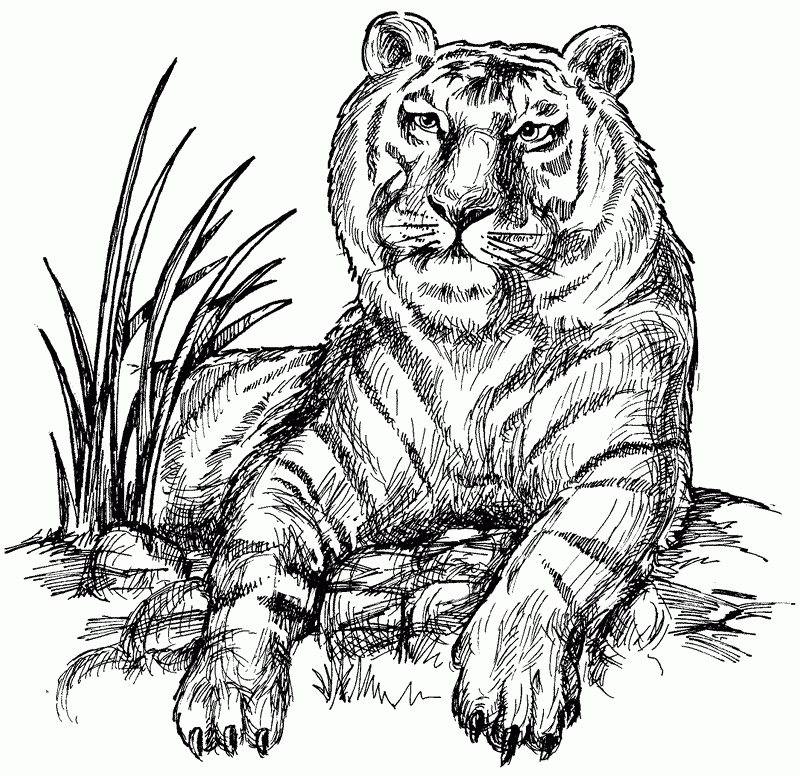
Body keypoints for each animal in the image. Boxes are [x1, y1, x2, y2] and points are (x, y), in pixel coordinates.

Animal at [160, 11, 695, 764]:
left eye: (534, 131)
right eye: (425, 121)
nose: (460, 207)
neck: (475, 339)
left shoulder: (632, 462)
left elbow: (549, 561)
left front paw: (506, 694)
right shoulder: (309, 463)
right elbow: (254, 572)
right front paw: (224, 694)